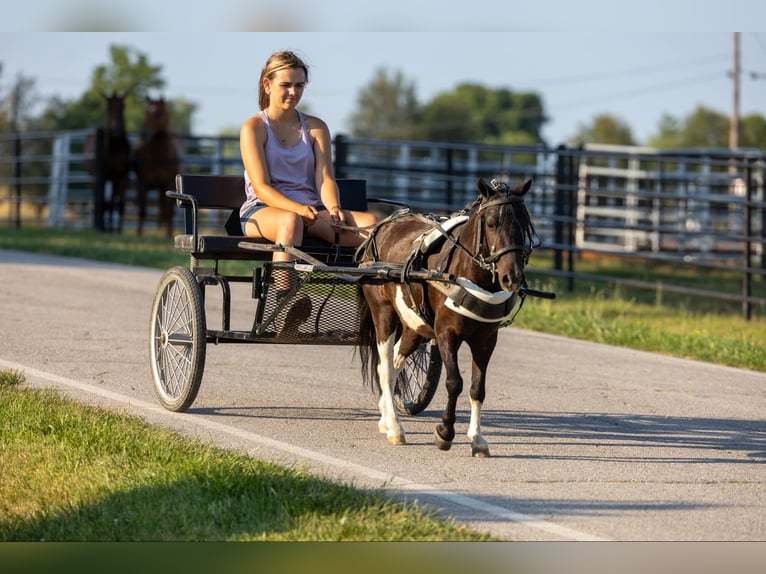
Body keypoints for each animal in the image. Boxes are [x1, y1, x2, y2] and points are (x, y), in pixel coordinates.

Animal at [85, 92, 132, 232]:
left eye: (123, 106)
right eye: (108, 108)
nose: (115, 128)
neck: (115, 148)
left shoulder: (122, 176)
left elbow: (119, 203)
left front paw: (118, 230)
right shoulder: (105, 176)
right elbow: (106, 202)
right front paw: (107, 228)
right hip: (94, 177)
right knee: (102, 200)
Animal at [134, 98, 182, 237]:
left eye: (159, 114)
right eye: (146, 112)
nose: (144, 134)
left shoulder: (167, 183)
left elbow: (167, 210)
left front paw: (168, 234)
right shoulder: (142, 183)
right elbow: (142, 209)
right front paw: (139, 233)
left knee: (166, 210)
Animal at [356, 179, 536, 460]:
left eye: (524, 224)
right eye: (491, 223)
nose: (512, 277)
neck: (468, 276)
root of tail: (384, 225)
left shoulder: (486, 339)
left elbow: (477, 388)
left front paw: (477, 439)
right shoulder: (445, 334)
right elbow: (454, 383)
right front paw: (445, 432)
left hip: (414, 325)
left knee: (395, 363)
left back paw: (386, 416)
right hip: (383, 313)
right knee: (385, 367)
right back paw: (395, 428)